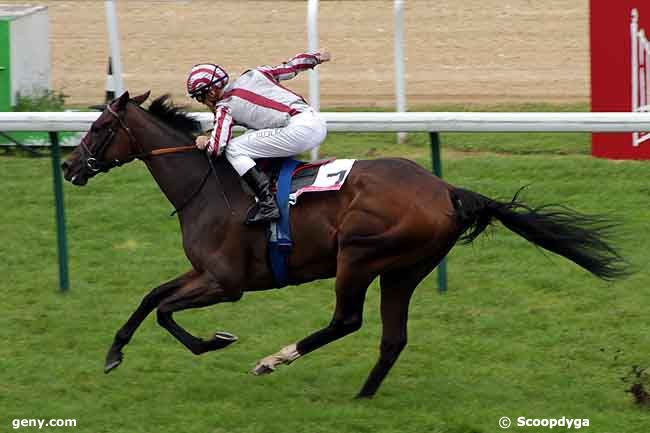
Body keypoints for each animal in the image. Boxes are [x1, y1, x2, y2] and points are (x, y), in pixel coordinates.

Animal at [60, 91, 628, 398]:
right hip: (406, 269)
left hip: (359, 255)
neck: (207, 185)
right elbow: (151, 298)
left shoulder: (226, 282)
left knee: (347, 321)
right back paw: (363, 395)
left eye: (101, 126)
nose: (67, 165)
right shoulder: (202, 273)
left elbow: (165, 311)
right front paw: (114, 352)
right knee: (392, 337)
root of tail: (446, 189)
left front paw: (215, 341)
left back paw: (275, 359)